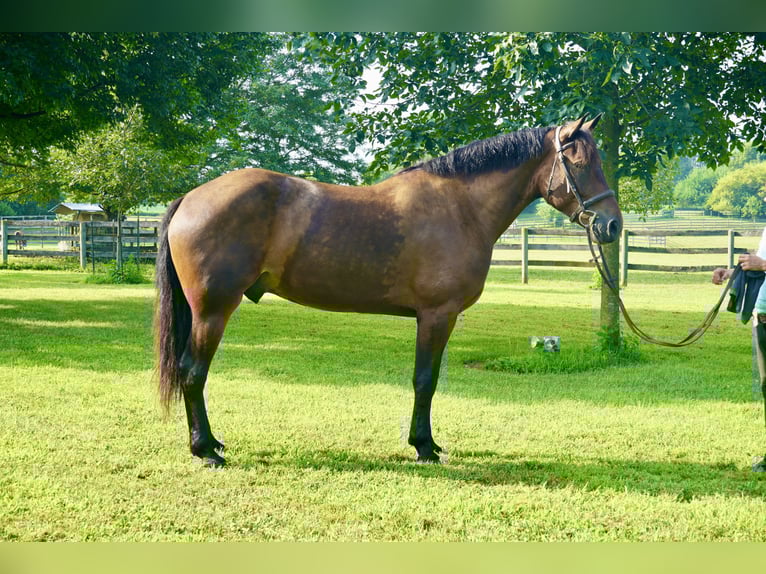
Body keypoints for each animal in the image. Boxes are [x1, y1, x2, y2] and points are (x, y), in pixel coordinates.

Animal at [155, 115, 623, 467]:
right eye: (580, 163)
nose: (612, 225)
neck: (461, 207)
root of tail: (190, 198)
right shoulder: (437, 315)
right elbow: (425, 381)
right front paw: (424, 447)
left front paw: (426, 443)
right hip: (213, 310)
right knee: (193, 372)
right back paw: (205, 450)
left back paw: (211, 443)